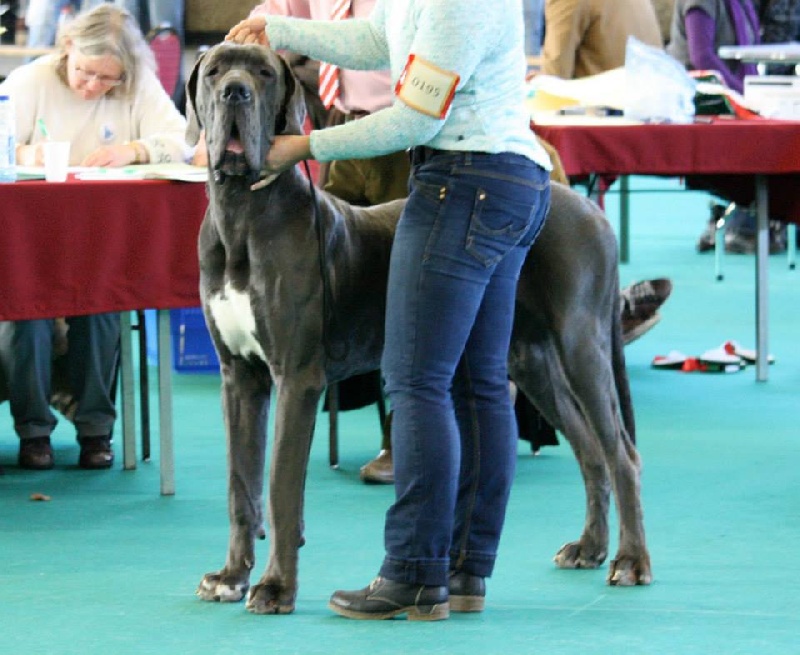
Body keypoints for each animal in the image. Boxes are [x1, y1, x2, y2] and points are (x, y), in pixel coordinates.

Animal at [184, 43, 648, 616]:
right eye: (214, 71)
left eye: (265, 73)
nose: (236, 92)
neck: (242, 215)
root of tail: (589, 211)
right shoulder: (239, 378)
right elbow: (240, 486)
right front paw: (230, 577)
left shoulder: (296, 377)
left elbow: (279, 486)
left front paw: (275, 587)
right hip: (530, 357)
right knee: (588, 448)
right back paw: (589, 547)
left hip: (581, 346)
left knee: (620, 453)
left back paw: (630, 561)